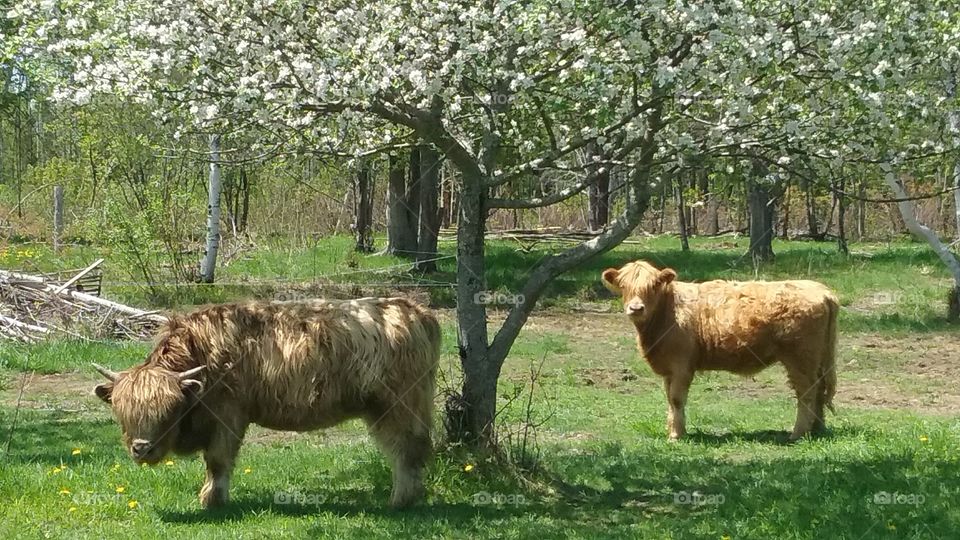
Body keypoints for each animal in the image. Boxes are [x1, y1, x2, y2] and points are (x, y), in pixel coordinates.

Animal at [92, 297, 440, 509]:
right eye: (122, 412)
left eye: (167, 410)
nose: (142, 449)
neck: (200, 352)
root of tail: (414, 310)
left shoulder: (228, 415)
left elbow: (218, 461)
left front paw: (212, 501)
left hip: (398, 405)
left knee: (406, 449)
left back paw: (401, 500)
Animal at [601, 260, 838, 441]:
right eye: (624, 286)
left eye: (653, 286)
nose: (636, 308)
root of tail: (823, 291)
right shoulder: (669, 369)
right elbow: (670, 399)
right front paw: (674, 431)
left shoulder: (681, 366)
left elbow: (676, 399)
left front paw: (677, 436)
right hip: (817, 358)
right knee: (819, 390)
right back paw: (817, 429)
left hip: (800, 358)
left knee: (807, 393)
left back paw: (798, 434)